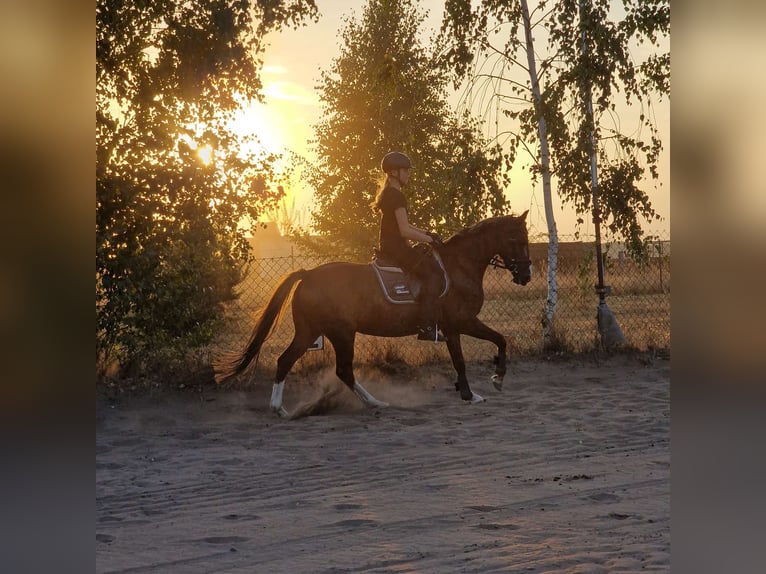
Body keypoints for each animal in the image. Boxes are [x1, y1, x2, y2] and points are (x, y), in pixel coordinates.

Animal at [213, 212, 532, 418]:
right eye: (515, 238)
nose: (526, 276)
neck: (459, 266)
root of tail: (308, 274)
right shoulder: (461, 322)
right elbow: (483, 349)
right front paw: (487, 385)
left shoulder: (456, 326)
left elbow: (478, 351)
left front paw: (480, 387)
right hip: (338, 333)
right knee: (334, 368)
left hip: (316, 332)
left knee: (300, 363)